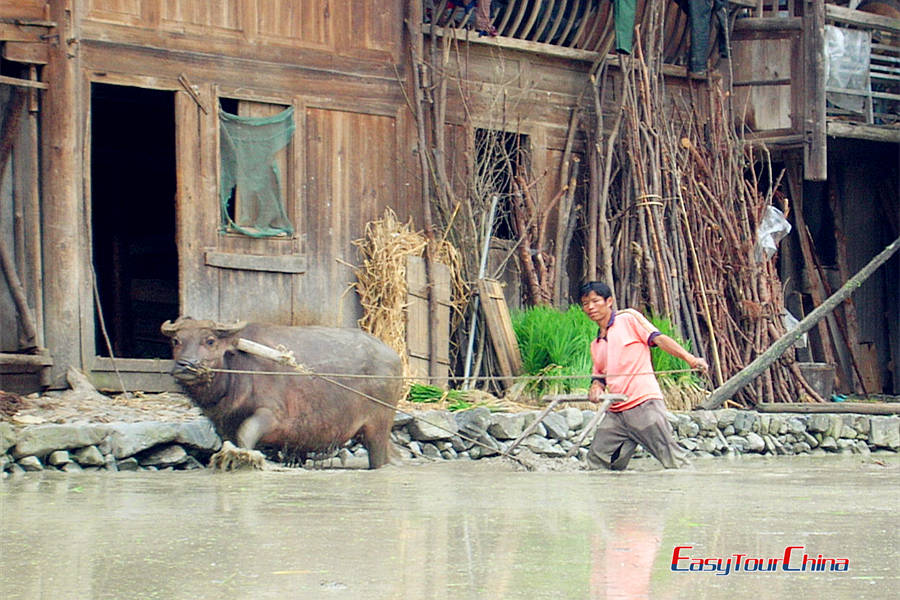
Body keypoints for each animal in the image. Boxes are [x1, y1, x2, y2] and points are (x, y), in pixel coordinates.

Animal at [160, 316, 402, 472]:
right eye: (176, 341)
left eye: (210, 340)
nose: (186, 365)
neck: (239, 370)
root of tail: (394, 357)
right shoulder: (224, 423)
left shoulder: (272, 415)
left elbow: (246, 432)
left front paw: (245, 458)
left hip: (378, 427)